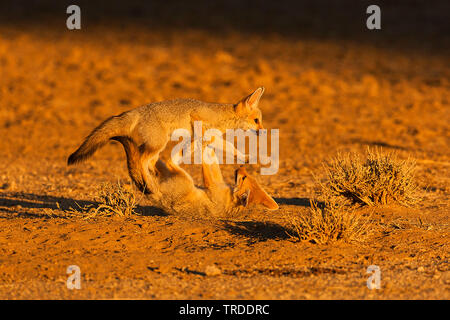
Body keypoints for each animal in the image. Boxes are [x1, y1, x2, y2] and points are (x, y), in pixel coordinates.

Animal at [68, 86, 266, 195]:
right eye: (257, 120)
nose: (263, 132)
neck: (222, 116)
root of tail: (138, 110)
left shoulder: (212, 137)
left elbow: (229, 146)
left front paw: (244, 158)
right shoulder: (198, 120)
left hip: (156, 146)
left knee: (149, 162)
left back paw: (154, 179)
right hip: (159, 143)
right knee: (142, 160)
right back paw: (149, 185)